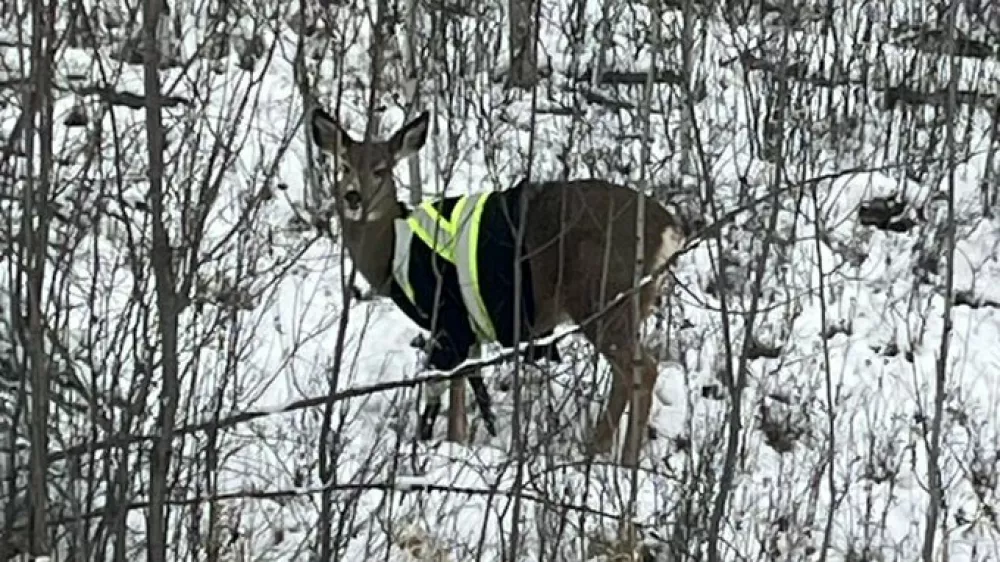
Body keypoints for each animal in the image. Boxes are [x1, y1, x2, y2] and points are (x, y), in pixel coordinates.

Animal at [310, 105, 696, 464]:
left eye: (381, 170)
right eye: (344, 166)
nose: (353, 197)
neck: (391, 251)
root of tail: (669, 230)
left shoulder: (447, 314)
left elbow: (450, 386)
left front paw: (449, 444)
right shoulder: (466, 326)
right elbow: (466, 383)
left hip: (602, 296)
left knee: (642, 368)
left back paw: (620, 461)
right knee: (628, 373)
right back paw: (599, 451)